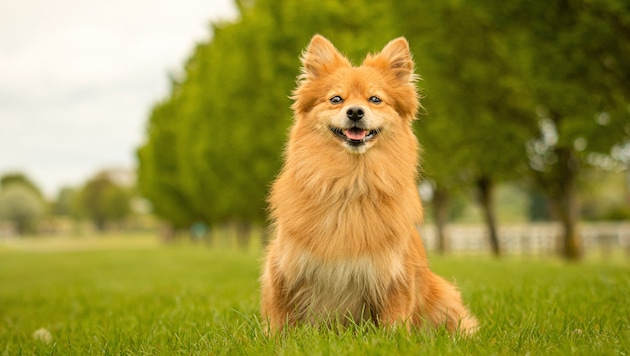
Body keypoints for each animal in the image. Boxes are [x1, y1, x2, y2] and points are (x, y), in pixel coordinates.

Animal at [262, 34, 478, 336]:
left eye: (375, 99)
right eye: (336, 99)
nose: (355, 111)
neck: (350, 183)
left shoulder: (393, 276)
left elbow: (393, 322)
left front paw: (393, 340)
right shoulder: (284, 269)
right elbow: (281, 319)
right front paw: (279, 339)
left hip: (442, 294)